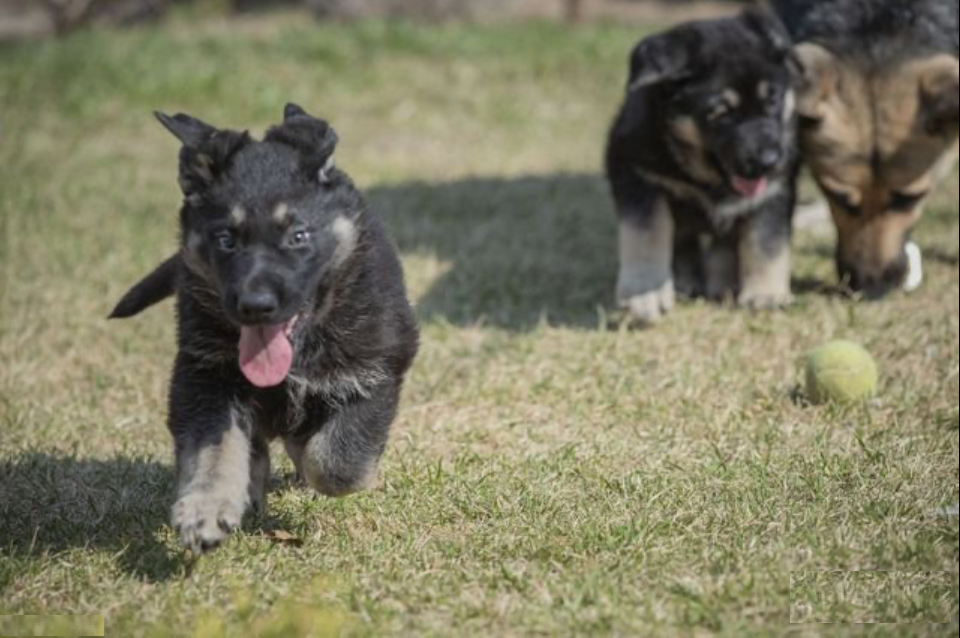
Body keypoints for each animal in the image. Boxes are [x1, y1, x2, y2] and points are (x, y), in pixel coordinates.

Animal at [110, 105, 418, 556]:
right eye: (225, 239)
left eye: (298, 235)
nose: (255, 306)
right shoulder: (204, 376)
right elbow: (214, 449)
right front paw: (205, 510)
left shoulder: (378, 369)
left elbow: (336, 461)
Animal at [608, 9, 804, 328]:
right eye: (721, 114)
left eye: (772, 101)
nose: (771, 160)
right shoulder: (637, 173)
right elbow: (646, 232)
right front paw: (644, 294)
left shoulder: (774, 189)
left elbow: (766, 240)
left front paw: (766, 295)